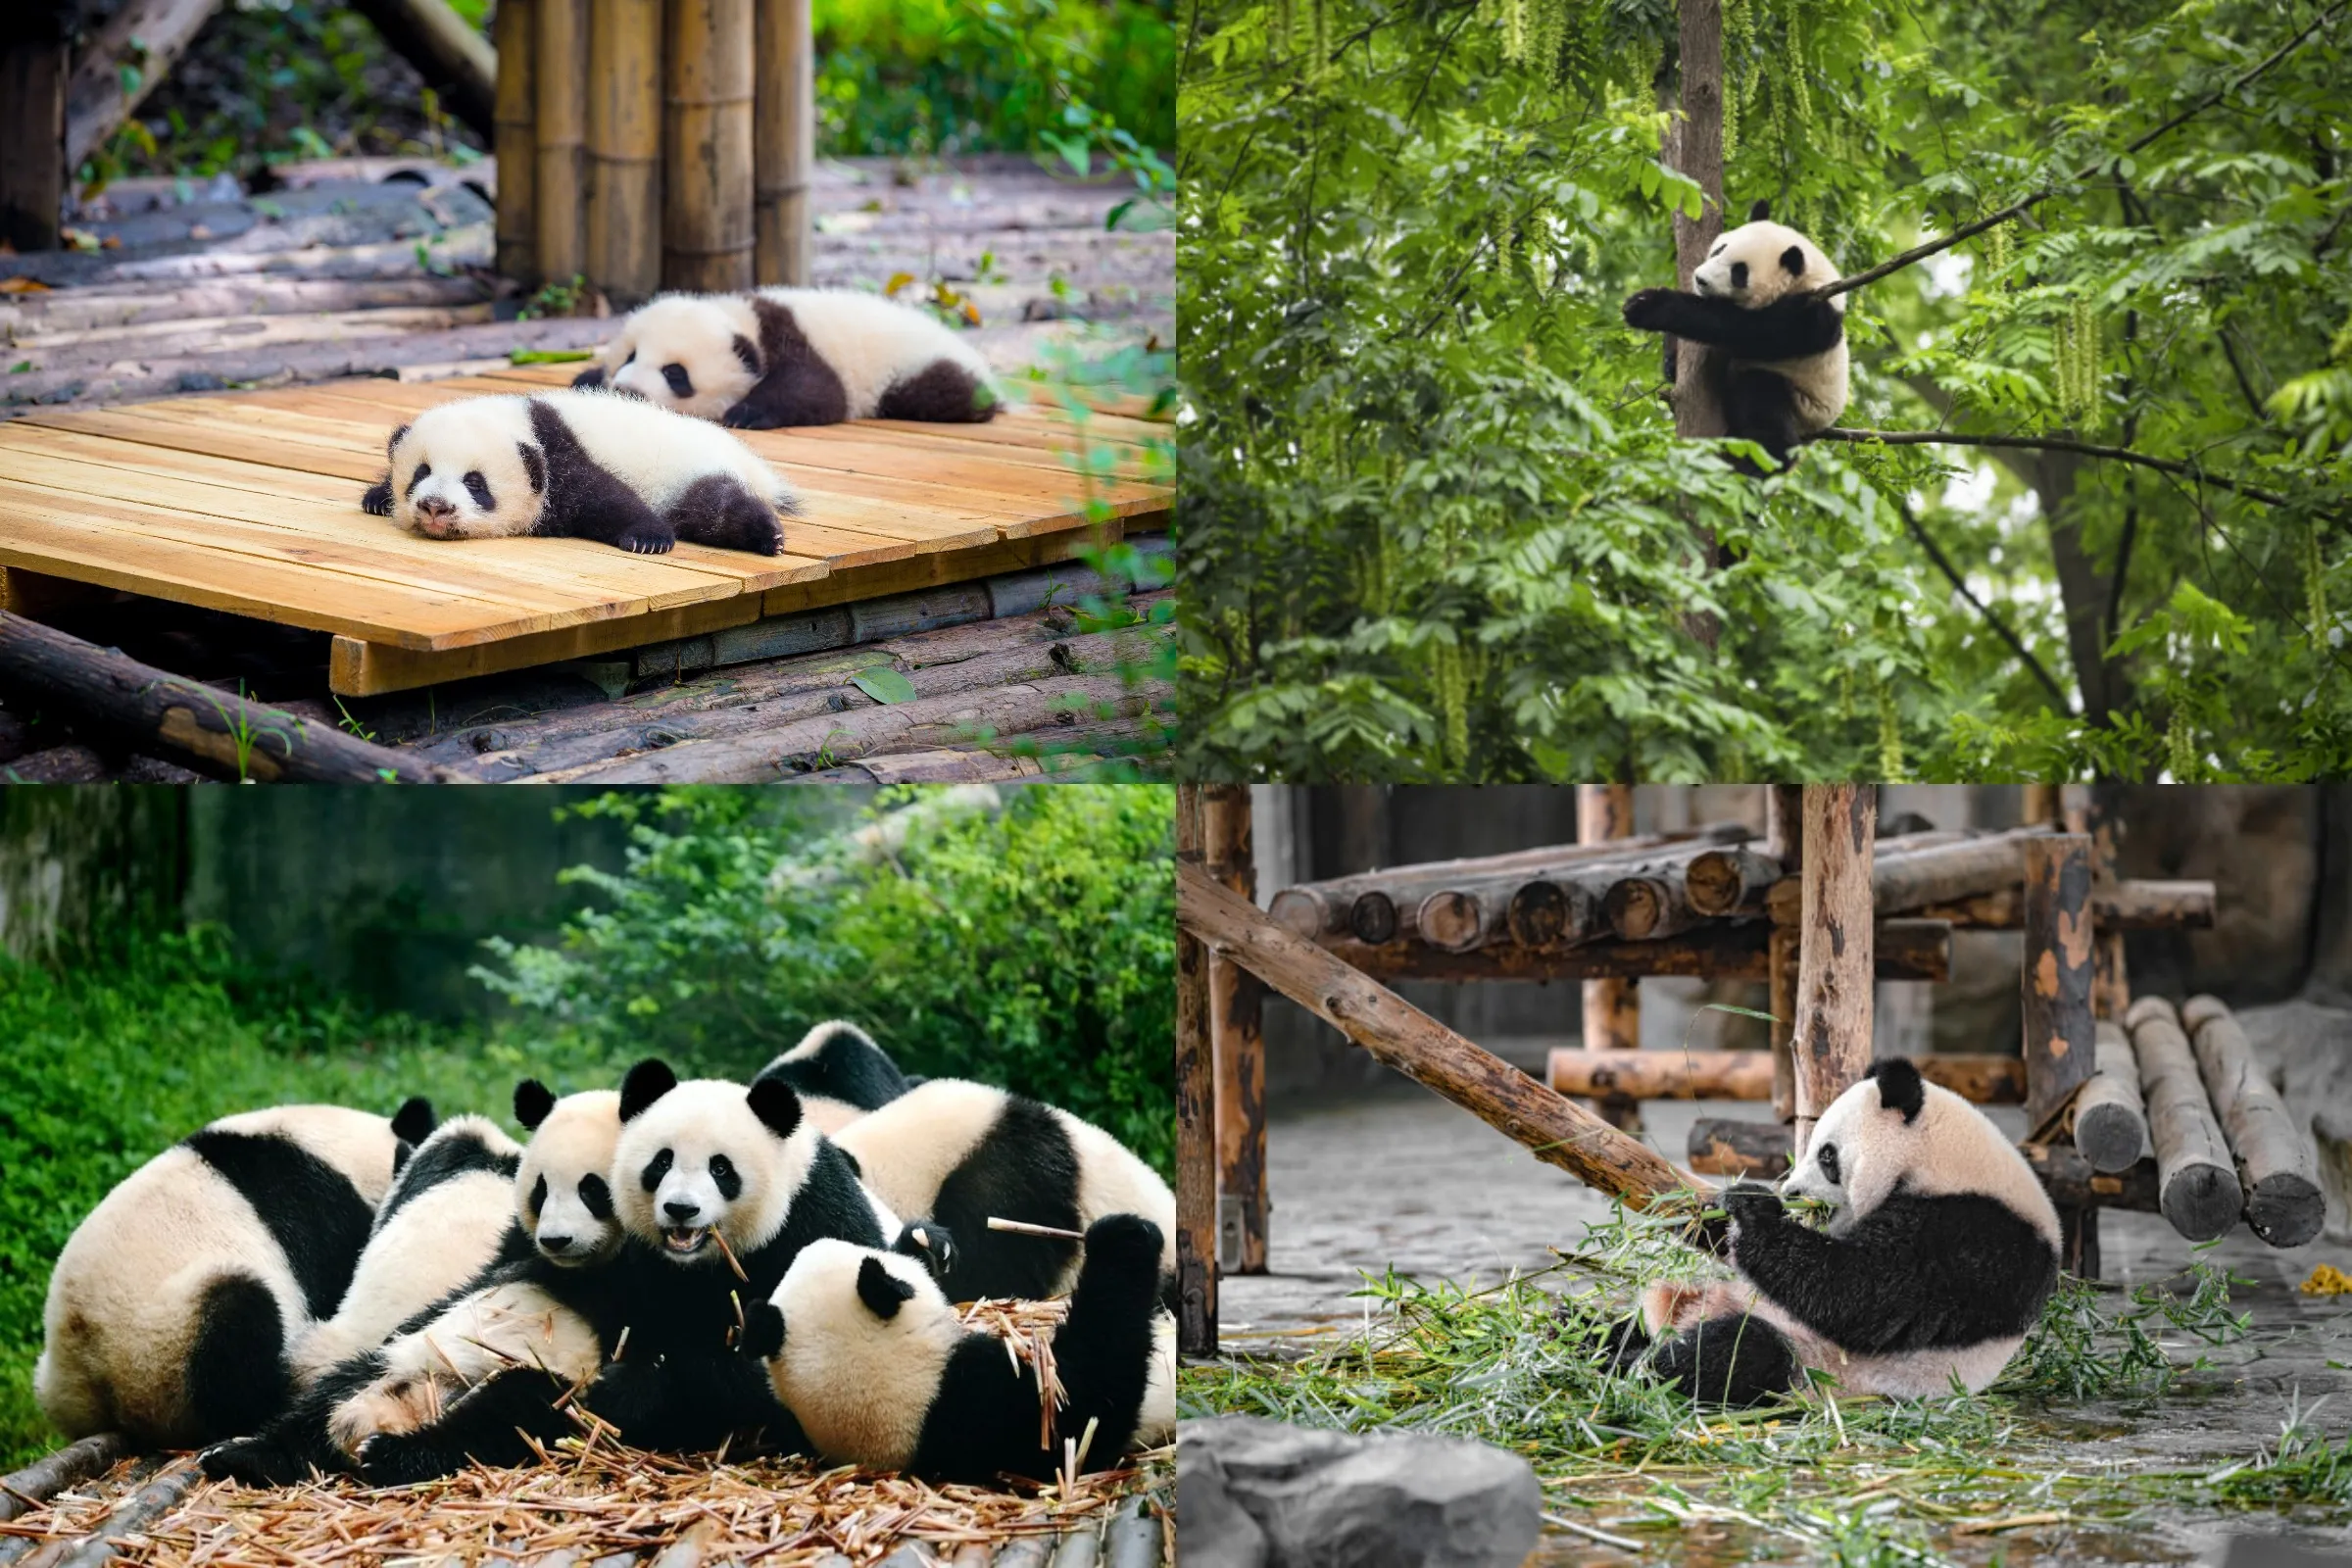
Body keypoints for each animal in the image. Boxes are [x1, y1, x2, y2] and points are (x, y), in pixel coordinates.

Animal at [358, 389, 799, 556]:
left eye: (475, 483)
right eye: (421, 473)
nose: (435, 507)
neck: (520, 422)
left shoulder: (562, 457)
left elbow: (608, 498)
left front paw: (648, 539)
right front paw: (377, 497)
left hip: (691, 470)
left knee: (715, 506)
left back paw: (767, 535)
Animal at [570, 288, 998, 429]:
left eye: (675, 373)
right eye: (630, 355)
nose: (628, 389)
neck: (745, 319)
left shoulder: (795, 342)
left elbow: (818, 391)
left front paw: (746, 413)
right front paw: (587, 379)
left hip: (916, 368)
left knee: (941, 392)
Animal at [1607, 1059, 2061, 1406]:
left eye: (1827, 1156)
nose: (1791, 1192)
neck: (1945, 1159)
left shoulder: (1973, 1236)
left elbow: (1859, 1293)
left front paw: (1754, 1211)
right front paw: (1712, 1209)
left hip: (1819, 1367)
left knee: (1736, 1353)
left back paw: (1629, 1367)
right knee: (1625, 1324)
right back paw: (1599, 1340)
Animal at [1620, 200, 1848, 471]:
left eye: (1739, 272)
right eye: (1719, 250)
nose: (1700, 279)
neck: (1805, 276)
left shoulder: (1810, 317)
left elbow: (1740, 329)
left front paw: (1647, 306)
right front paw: (1671, 362)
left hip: (1802, 403)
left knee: (1763, 408)